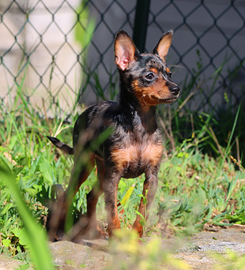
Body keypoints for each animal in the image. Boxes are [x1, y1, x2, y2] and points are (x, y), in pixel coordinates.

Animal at [47, 29, 180, 239]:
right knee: (68, 195)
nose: (176, 89)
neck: (141, 124)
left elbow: (142, 212)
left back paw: (93, 231)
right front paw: (116, 240)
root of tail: (85, 112)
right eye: (150, 76)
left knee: (91, 196)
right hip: (85, 167)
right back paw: (59, 230)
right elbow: (112, 213)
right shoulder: (114, 176)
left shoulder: (152, 177)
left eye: (169, 74)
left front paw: (135, 239)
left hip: (102, 173)